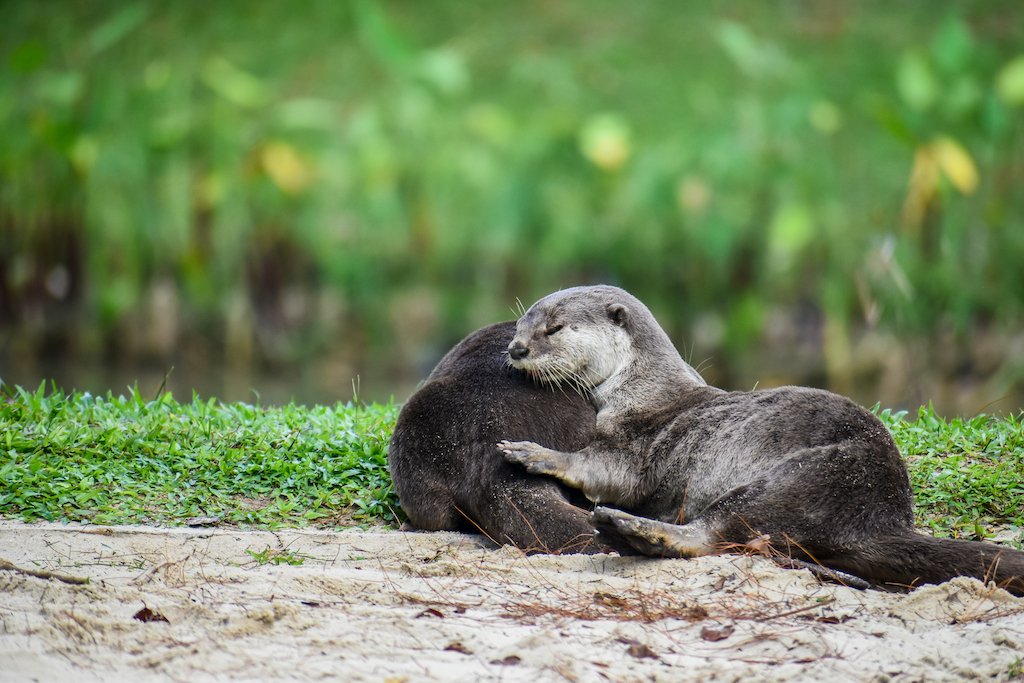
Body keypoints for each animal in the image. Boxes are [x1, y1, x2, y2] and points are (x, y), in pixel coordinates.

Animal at [501, 282, 1024, 593]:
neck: (639, 386)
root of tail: (884, 515)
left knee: (716, 534)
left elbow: (603, 470)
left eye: (554, 328)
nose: (516, 348)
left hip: (810, 476)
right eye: (521, 322)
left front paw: (534, 453)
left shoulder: (638, 441)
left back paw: (630, 528)